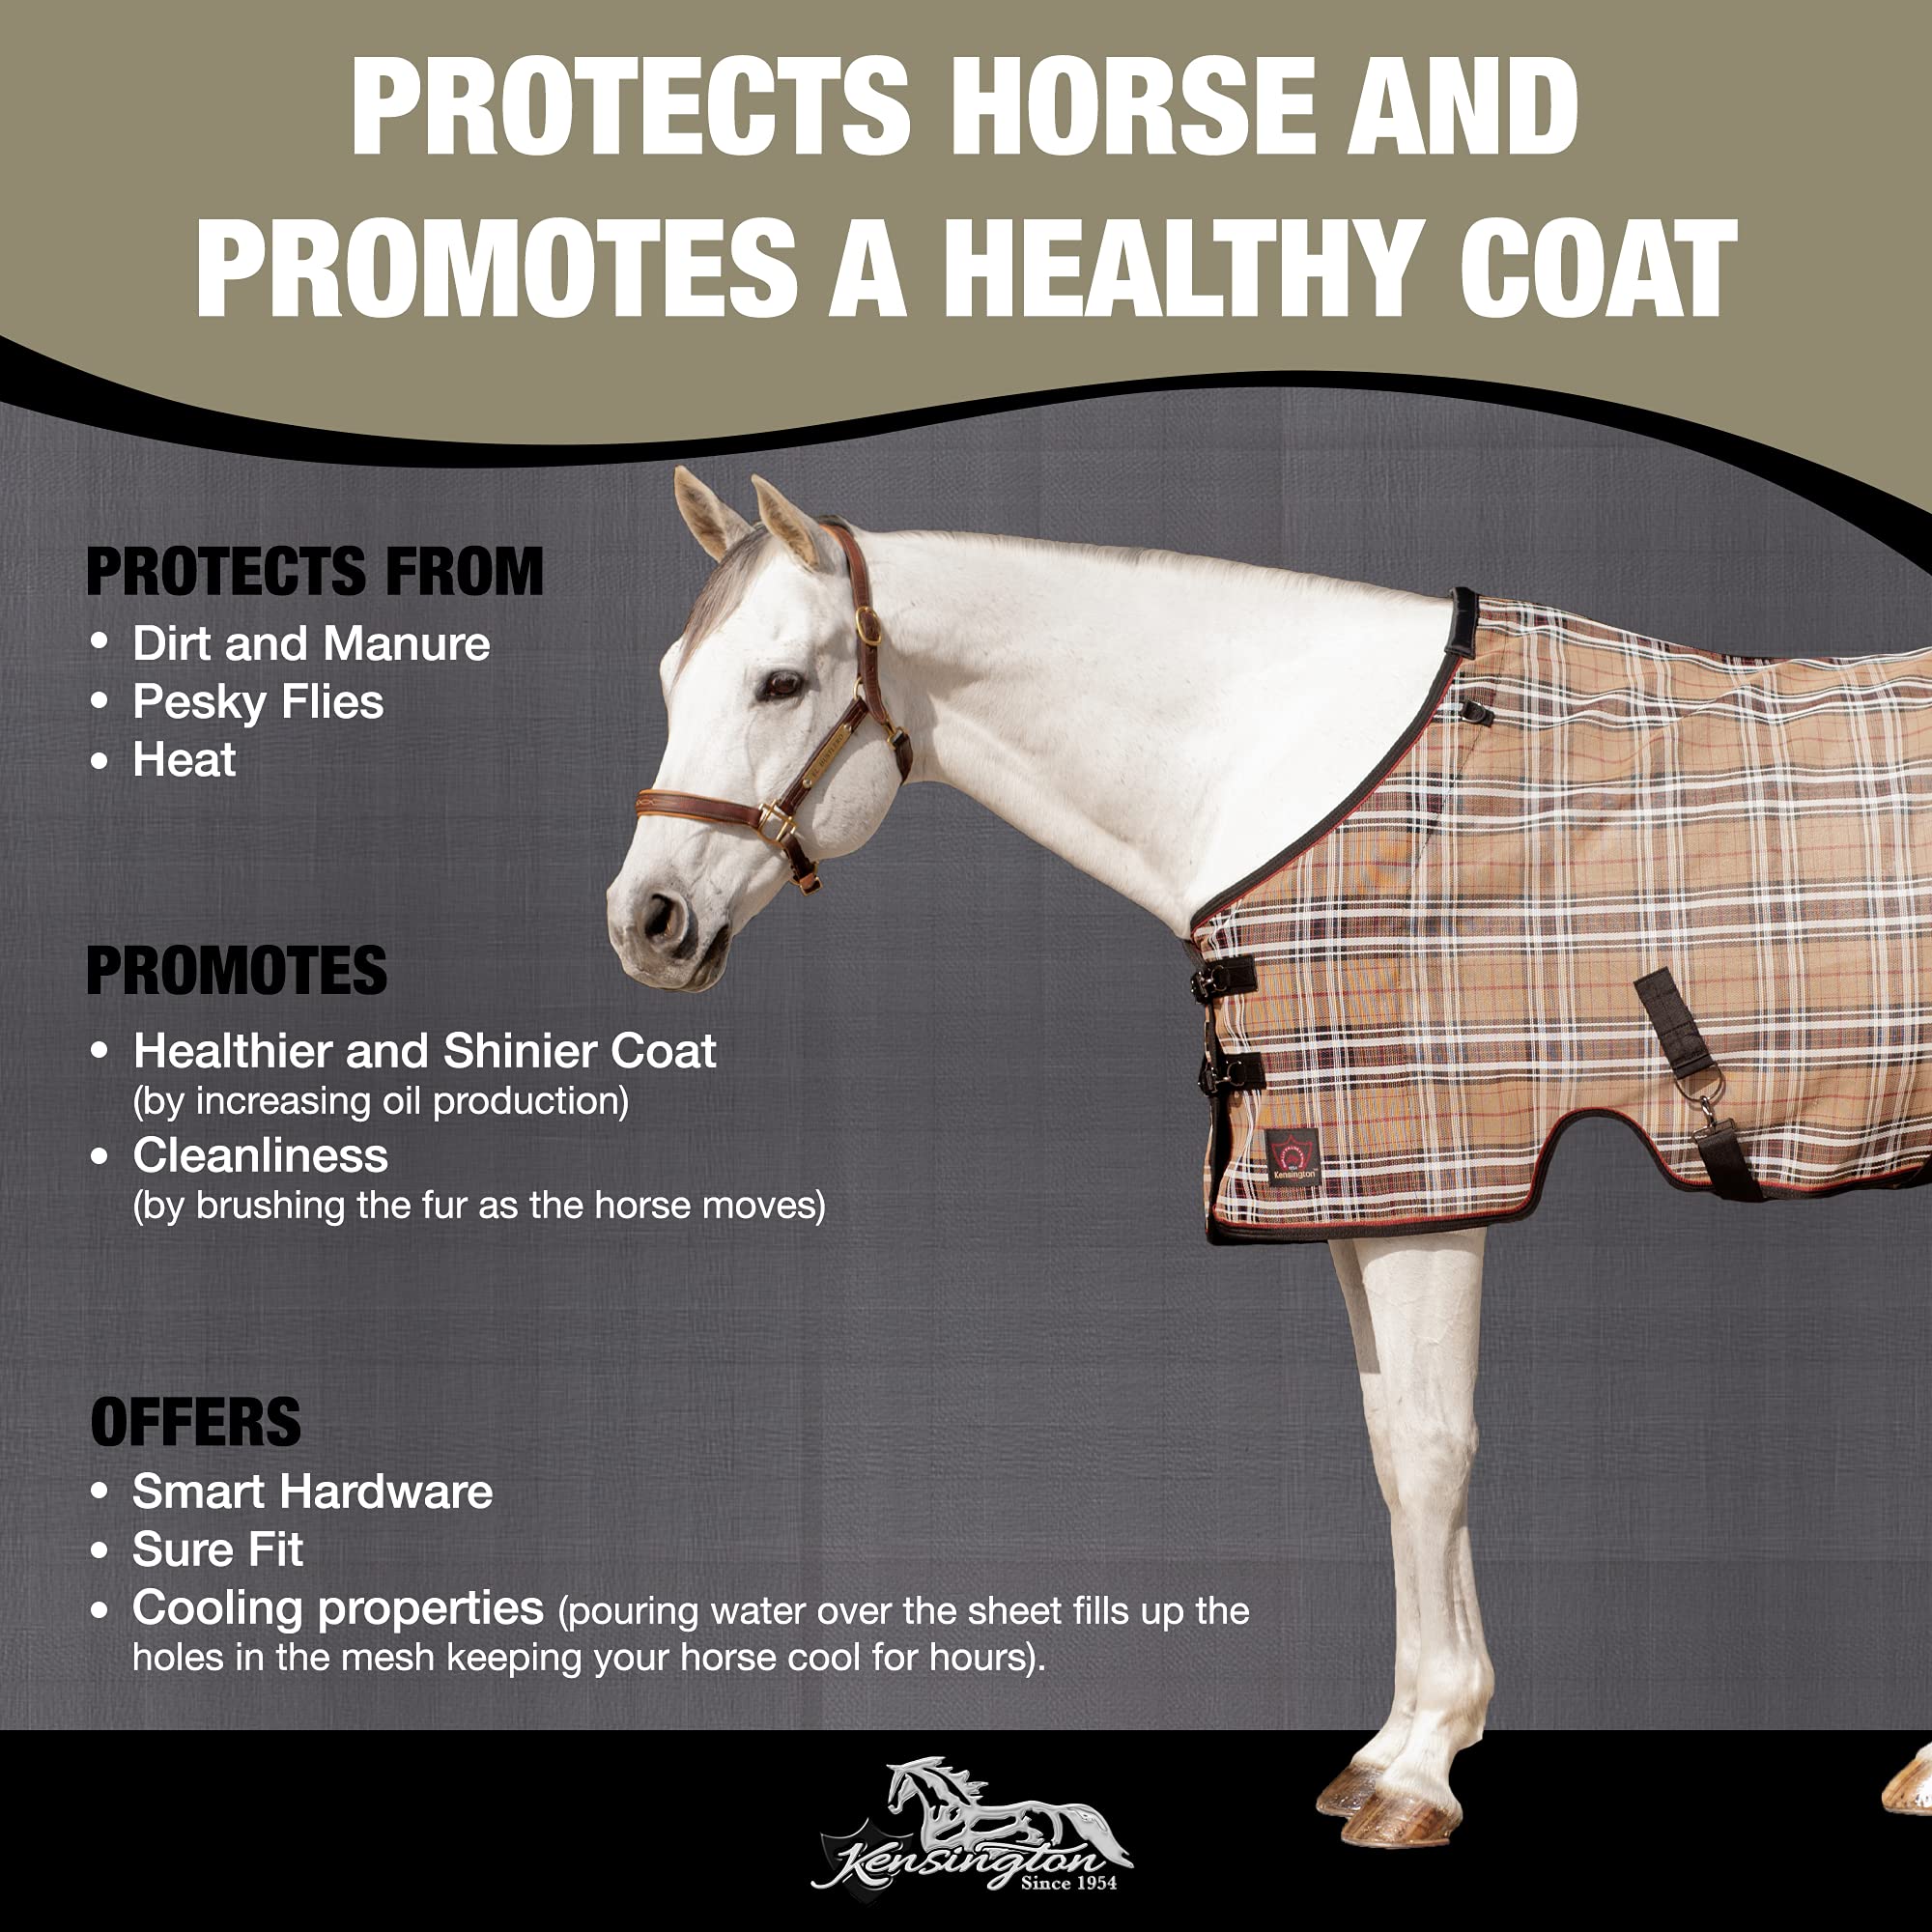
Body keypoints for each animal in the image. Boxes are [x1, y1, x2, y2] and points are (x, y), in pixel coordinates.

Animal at [607, 466, 1932, 1847]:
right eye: (669, 676)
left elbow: (1431, 1449)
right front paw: (1397, 1739)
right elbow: (1390, 1445)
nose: (644, 920)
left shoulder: (1429, 1176)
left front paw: (1418, 1775)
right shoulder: (1340, 1181)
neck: (1294, 773)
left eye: (779, 682)